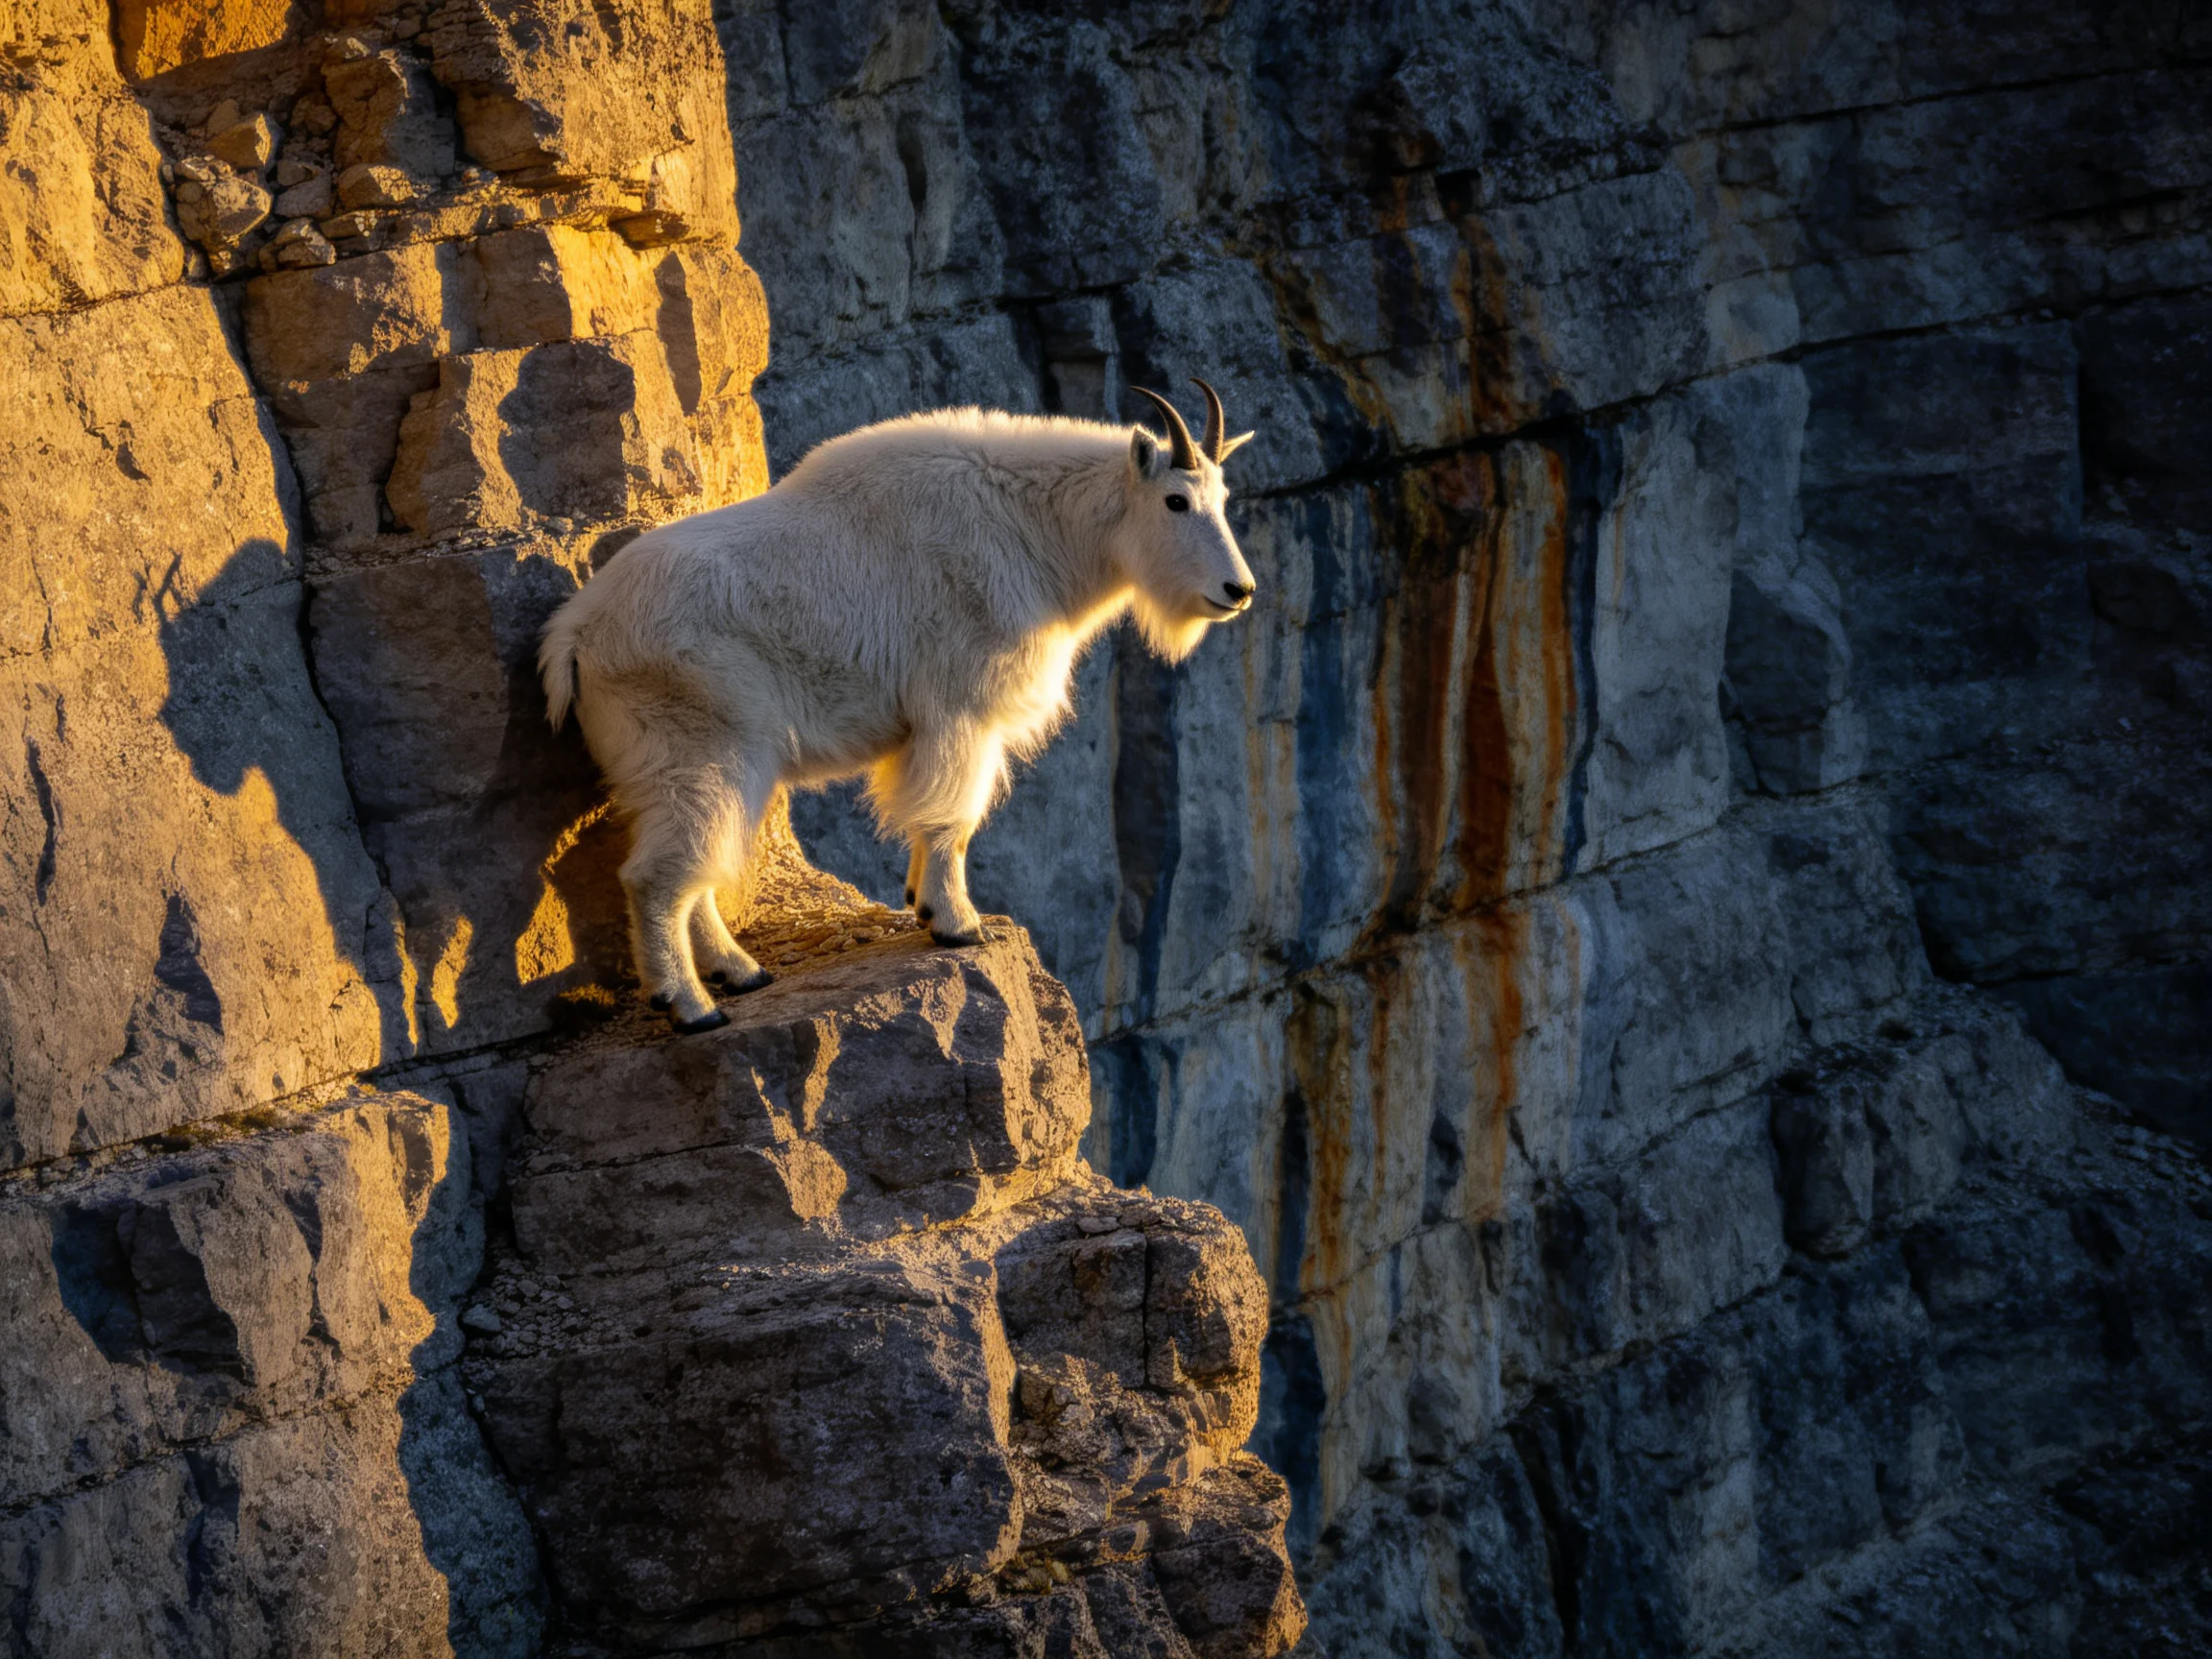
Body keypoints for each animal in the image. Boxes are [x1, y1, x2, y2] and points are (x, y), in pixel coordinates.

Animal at [539, 381, 1257, 1031]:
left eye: (1223, 499)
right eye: (1175, 500)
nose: (1239, 590)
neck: (1036, 528)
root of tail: (576, 634)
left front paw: (919, 901)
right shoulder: (960, 708)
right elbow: (952, 818)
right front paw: (956, 924)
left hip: (678, 765)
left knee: (692, 868)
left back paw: (740, 972)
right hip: (703, 747)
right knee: (658, 876)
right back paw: (691, 1006)